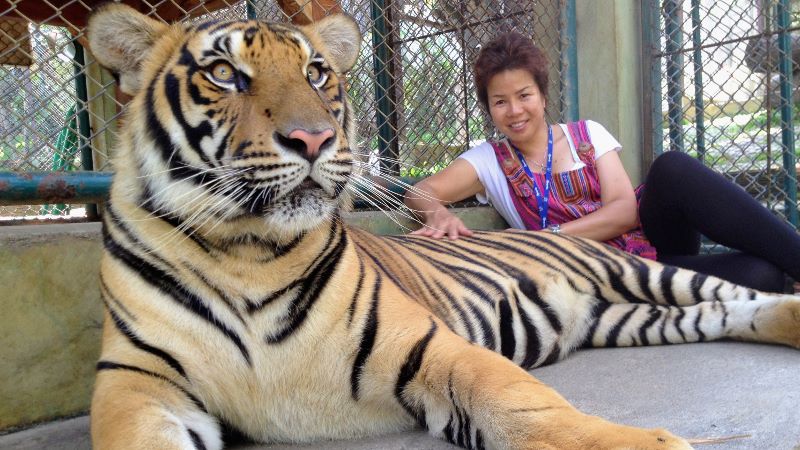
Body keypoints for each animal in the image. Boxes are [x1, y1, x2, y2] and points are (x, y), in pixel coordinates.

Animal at [87, 4, 800, 450]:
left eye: (317, 73)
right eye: (223, 73)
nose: (314, 139)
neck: (247, 251)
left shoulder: (428, 343)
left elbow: (527, 407)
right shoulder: (138, 382)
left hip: (636, 269)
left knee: (739, 294)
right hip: (628, 316)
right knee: (724, 313)